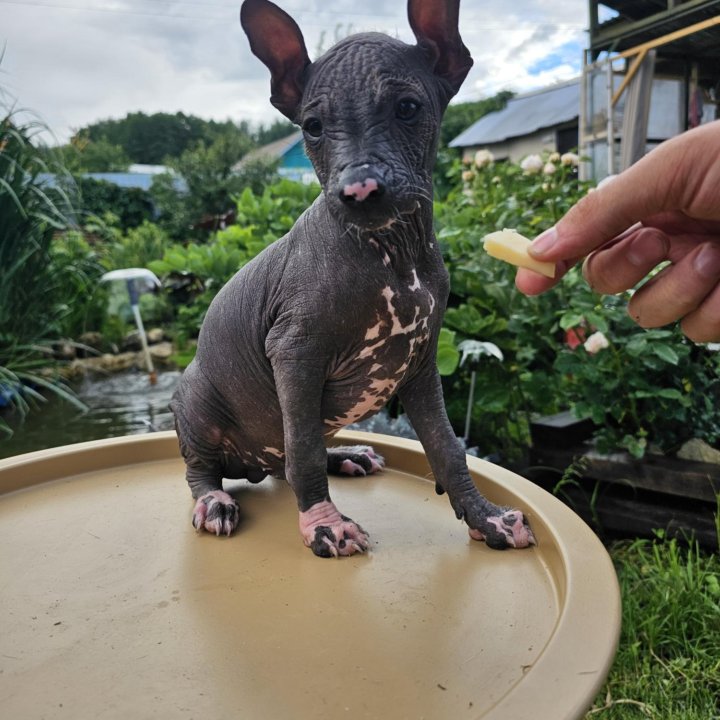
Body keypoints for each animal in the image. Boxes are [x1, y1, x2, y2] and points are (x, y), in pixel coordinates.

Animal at [172, 0, 536, 556]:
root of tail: (251, 465)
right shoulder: (294, 352)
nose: (359, 190)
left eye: (407, 107)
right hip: (196, 398)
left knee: (291, 454)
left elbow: (446, 447)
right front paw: (325, 524)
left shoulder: (421, 362)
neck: (391, 253)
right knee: (213, 466)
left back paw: (346, 455)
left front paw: (487, 517)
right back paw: (214, 499)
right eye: (313, 126)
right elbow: (302, 449)